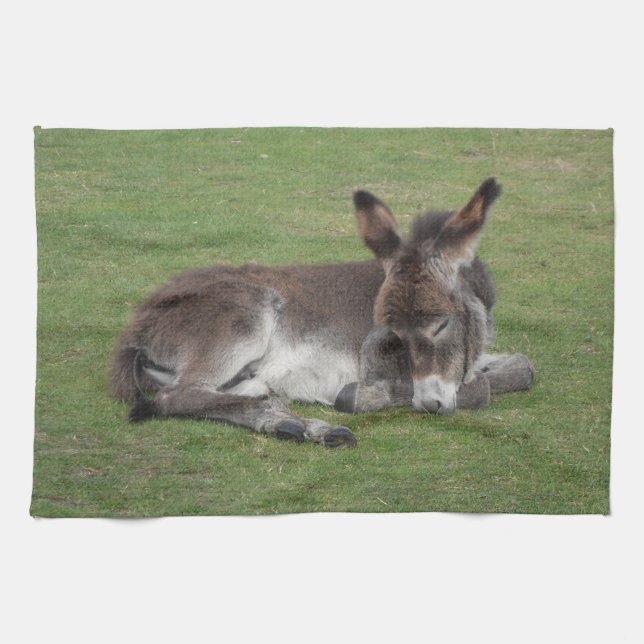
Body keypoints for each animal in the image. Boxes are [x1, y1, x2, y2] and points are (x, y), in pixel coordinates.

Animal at [110, 177, 534, 447]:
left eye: (442, 324)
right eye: (394, 333)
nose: (429, 405)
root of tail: (136, 329)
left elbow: (524, 367)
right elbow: (480, 389)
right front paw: (360, 396)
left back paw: (292, 422)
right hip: (242, 319)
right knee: (178, 395)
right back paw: (304, 425)